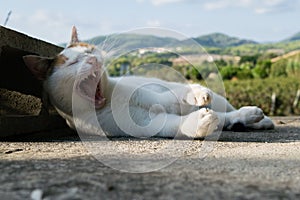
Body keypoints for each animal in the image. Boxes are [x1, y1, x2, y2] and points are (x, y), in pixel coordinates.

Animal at [23, 26, 274, 138]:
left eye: (89, 51)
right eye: (73, 63)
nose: (93, 59)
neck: (109, 100)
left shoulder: (150, 93)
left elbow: (170, 97)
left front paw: (194, 94)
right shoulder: (144, 124)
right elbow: (171, 125)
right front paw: (197, 123)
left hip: (221, 99)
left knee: (228, 112)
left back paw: (256, 118)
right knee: (226, 118)